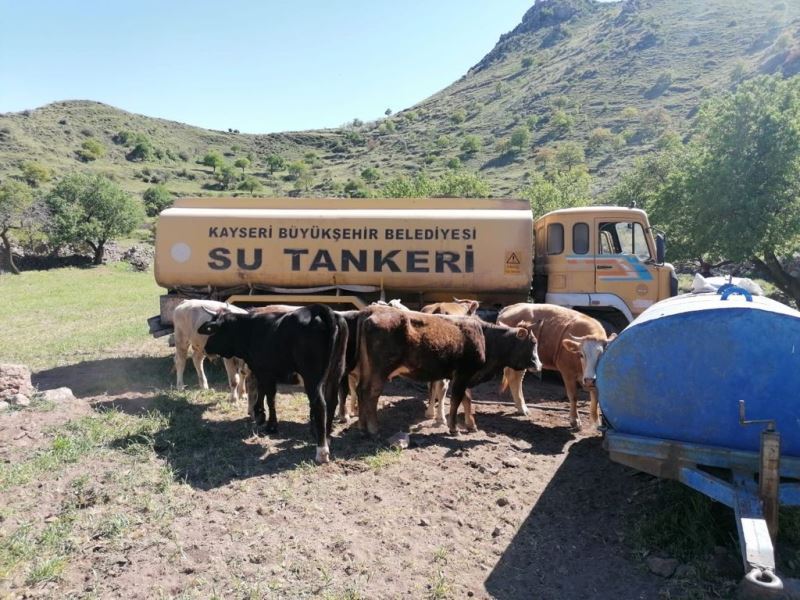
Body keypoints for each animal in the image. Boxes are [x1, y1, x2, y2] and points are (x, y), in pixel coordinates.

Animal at [198, 304, 346, 464]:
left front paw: (270, 425)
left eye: (213, 330)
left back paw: (322, 451)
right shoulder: (263, 372)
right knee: (332, 402)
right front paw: (260, 414)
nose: (206, 348)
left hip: (312, 377)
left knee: (319, 404)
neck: (250, 329)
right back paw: (327, 436)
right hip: (336, 371)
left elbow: (269, 398)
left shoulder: (265, 371)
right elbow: (263, 392)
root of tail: (317, 309)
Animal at [356, 312, 544, 434]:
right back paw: (373, 428)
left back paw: (362, 425)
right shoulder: (463, 374)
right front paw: (453, 428)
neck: (485, 337)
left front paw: (471, 425)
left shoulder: (465, 376)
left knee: (360, 390)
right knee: (371, 393)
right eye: (533, 342)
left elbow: (467, 399)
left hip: (367, 369)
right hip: (380, 370)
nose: (539, 365)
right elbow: (456, 400)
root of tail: (368, 318)